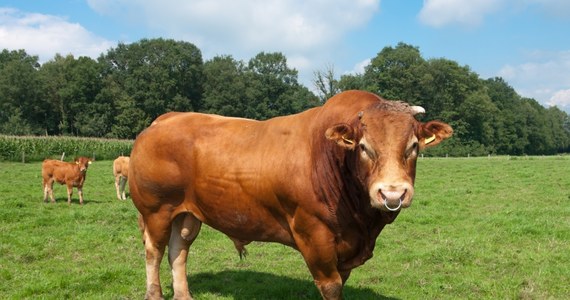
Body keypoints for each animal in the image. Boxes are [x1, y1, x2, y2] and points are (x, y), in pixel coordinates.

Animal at [130, 91, 452, 300]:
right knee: (154, 251)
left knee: (178, 250)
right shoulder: (314, 234)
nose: (392, 192)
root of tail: (165, 119)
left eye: (413, 146)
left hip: (186, 214)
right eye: (363, 147)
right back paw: (154, 294)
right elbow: (332, 286)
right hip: (156, 210)